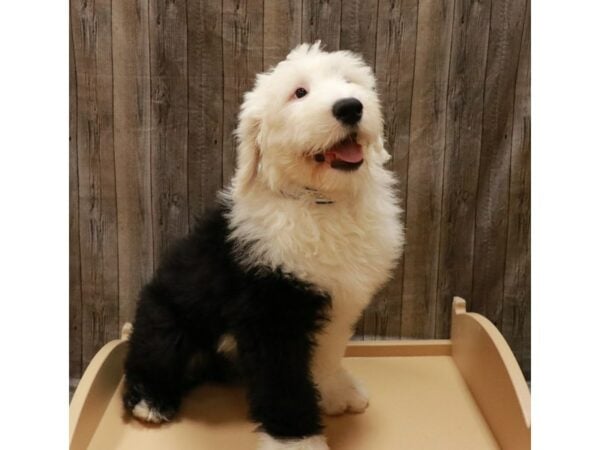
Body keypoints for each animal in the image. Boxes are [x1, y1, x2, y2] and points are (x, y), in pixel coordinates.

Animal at [122, 42, 404, 450]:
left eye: (349, 81)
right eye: (299, 92)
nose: (350, 107)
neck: (320, 203)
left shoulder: (338, 299)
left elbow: (327, 353)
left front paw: (335, 393)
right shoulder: (271, 308)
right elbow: (285, 381)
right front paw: (298, 441)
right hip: (167, 321)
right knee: (150, 356)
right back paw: (150, 401)